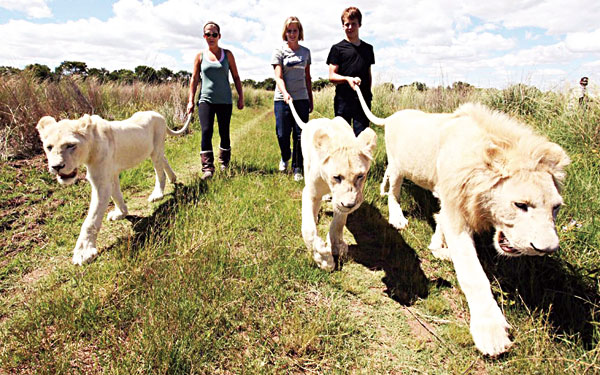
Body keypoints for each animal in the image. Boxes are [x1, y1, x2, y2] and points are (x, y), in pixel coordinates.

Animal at [36, 110, 190, 266]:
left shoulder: (101, 182)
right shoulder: (111, 173)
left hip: (156, 148)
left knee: (160, 171)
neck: (91, 146)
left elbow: (91, 220)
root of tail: (158, 114)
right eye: (49, 147)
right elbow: (116, 195)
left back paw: (158, 193)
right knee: (164, 159)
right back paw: (173, 178)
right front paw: (121, 213)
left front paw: (84, 251)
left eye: (70, 145)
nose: (56, 166)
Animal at [290, 99, 378, 270]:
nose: (350, 205)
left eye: (360, 176)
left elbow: (338, 223)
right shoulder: (310, 193)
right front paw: (324, 259)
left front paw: (336, 245)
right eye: (336, 177)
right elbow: (308, 229)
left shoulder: (343, 201)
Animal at [356, 86, 572, 356]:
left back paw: (383, 191)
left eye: (556, 207)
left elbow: (439, 223)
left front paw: (438, 247)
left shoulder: (450, 200)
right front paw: (491, 332)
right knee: (395, 191)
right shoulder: (456, 212)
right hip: (399, 165)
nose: (547, 249)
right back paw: (396, 217)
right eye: (521, 205)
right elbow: (473, 274)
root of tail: (394, 115)